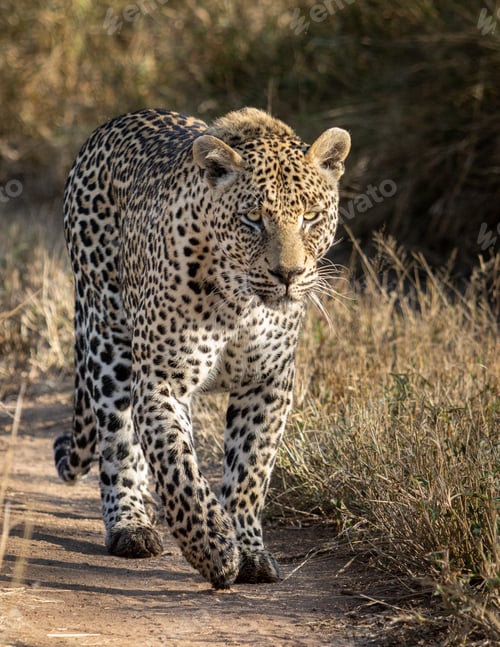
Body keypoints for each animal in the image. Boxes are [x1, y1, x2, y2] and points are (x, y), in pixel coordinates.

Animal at [54, 107, 350, 589]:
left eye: (309, 216)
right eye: (253, 219)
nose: (288, 274)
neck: (243, 304)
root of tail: (116, 121)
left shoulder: (268, 384)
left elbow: (250, 469)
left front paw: (248, 551)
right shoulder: (161, 380)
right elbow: (176, 465)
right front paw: (213, 548)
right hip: (108, 338)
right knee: (119, 439)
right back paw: (131, 525)